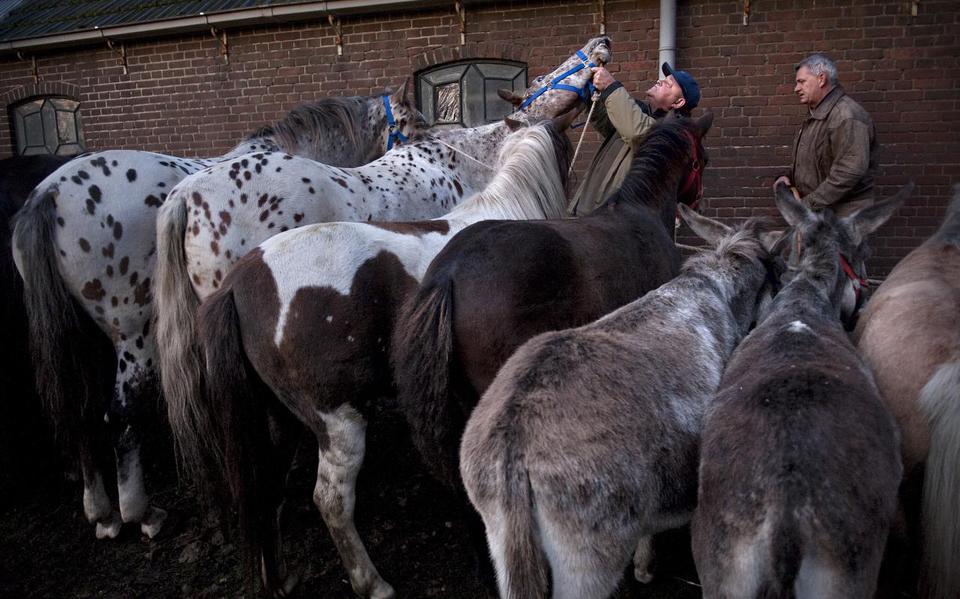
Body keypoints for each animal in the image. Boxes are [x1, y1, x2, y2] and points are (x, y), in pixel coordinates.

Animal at [7, 90, 420, 544]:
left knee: (82, 413)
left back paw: (103, 513)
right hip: (133, 336)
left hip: (81, 339)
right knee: (122, 413)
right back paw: (142, 512)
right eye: (412, 123)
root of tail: (47, 194)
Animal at [460, 207, 780, 599]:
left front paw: (643, 566)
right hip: (587, 557)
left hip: (500, 537)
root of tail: (513, 441)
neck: (714, 289)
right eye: (777, 272)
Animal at [688, 183, 908, 599]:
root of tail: (786, 523)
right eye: (864, 253)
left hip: (725, 575)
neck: (805, 296)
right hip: (847, 575)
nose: (865, 292)